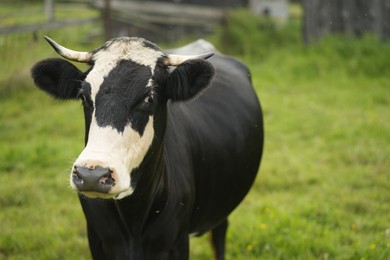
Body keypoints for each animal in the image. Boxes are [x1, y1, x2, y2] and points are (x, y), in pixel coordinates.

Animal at [30, 35, 262, 260]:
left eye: (148, 98)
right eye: (83, 96)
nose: (92, 175)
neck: (133, 217)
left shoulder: (177, 242)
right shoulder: (97, 239)